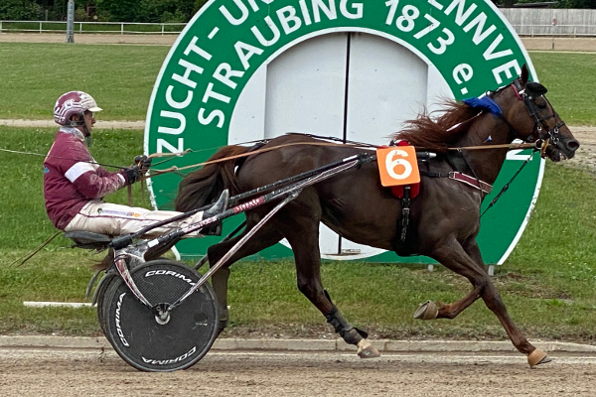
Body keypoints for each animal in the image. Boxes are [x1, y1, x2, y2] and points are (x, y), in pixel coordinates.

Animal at [176, 67, 576, 366]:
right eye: (541, 101)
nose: (570, 143)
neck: (456, 168)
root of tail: (256, 149)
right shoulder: (440, 243)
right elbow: (481, 283)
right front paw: (432, 310)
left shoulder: (468, 242)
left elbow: (489, 290)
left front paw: (529, 347)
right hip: (299, 219)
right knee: (309, 282)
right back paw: (356, 338)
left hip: (268, 223)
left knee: (219, 255)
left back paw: (217, 320)